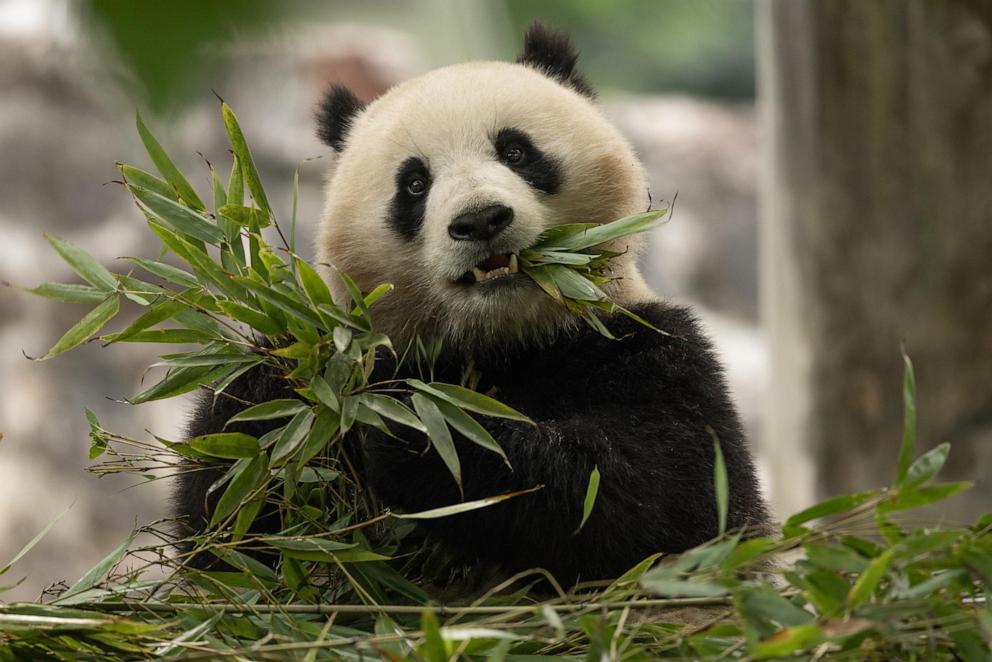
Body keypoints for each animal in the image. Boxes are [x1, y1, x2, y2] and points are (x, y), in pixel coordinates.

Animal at [174, 24, 772, 588]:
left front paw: (421, 432)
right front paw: (283, 388)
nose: (481, 220)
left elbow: (664, 499)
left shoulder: (649, 349)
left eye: (516, 151)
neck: (502, 339)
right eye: (414, 183)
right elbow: (228, 533)